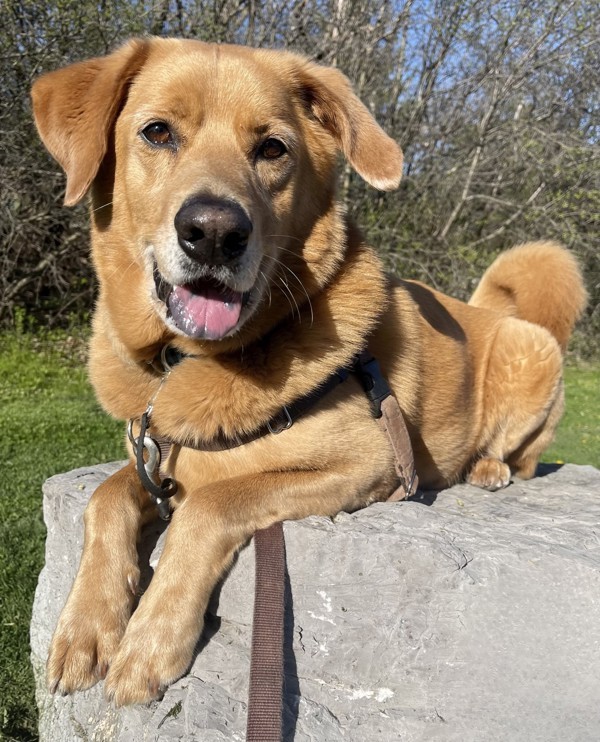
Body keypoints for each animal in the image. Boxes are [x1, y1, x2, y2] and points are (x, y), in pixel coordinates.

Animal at [31, 36, 584, 708]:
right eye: (157, 132)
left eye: (273, 148)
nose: (213, 232)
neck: (193, 361)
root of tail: (491, 312)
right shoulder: (154, 456)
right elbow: (106, 498)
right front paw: (85, 629)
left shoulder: (365, 464)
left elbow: (212, 502)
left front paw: (150, 641)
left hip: (531, 351)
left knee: (522, 458)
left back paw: (487, 468)